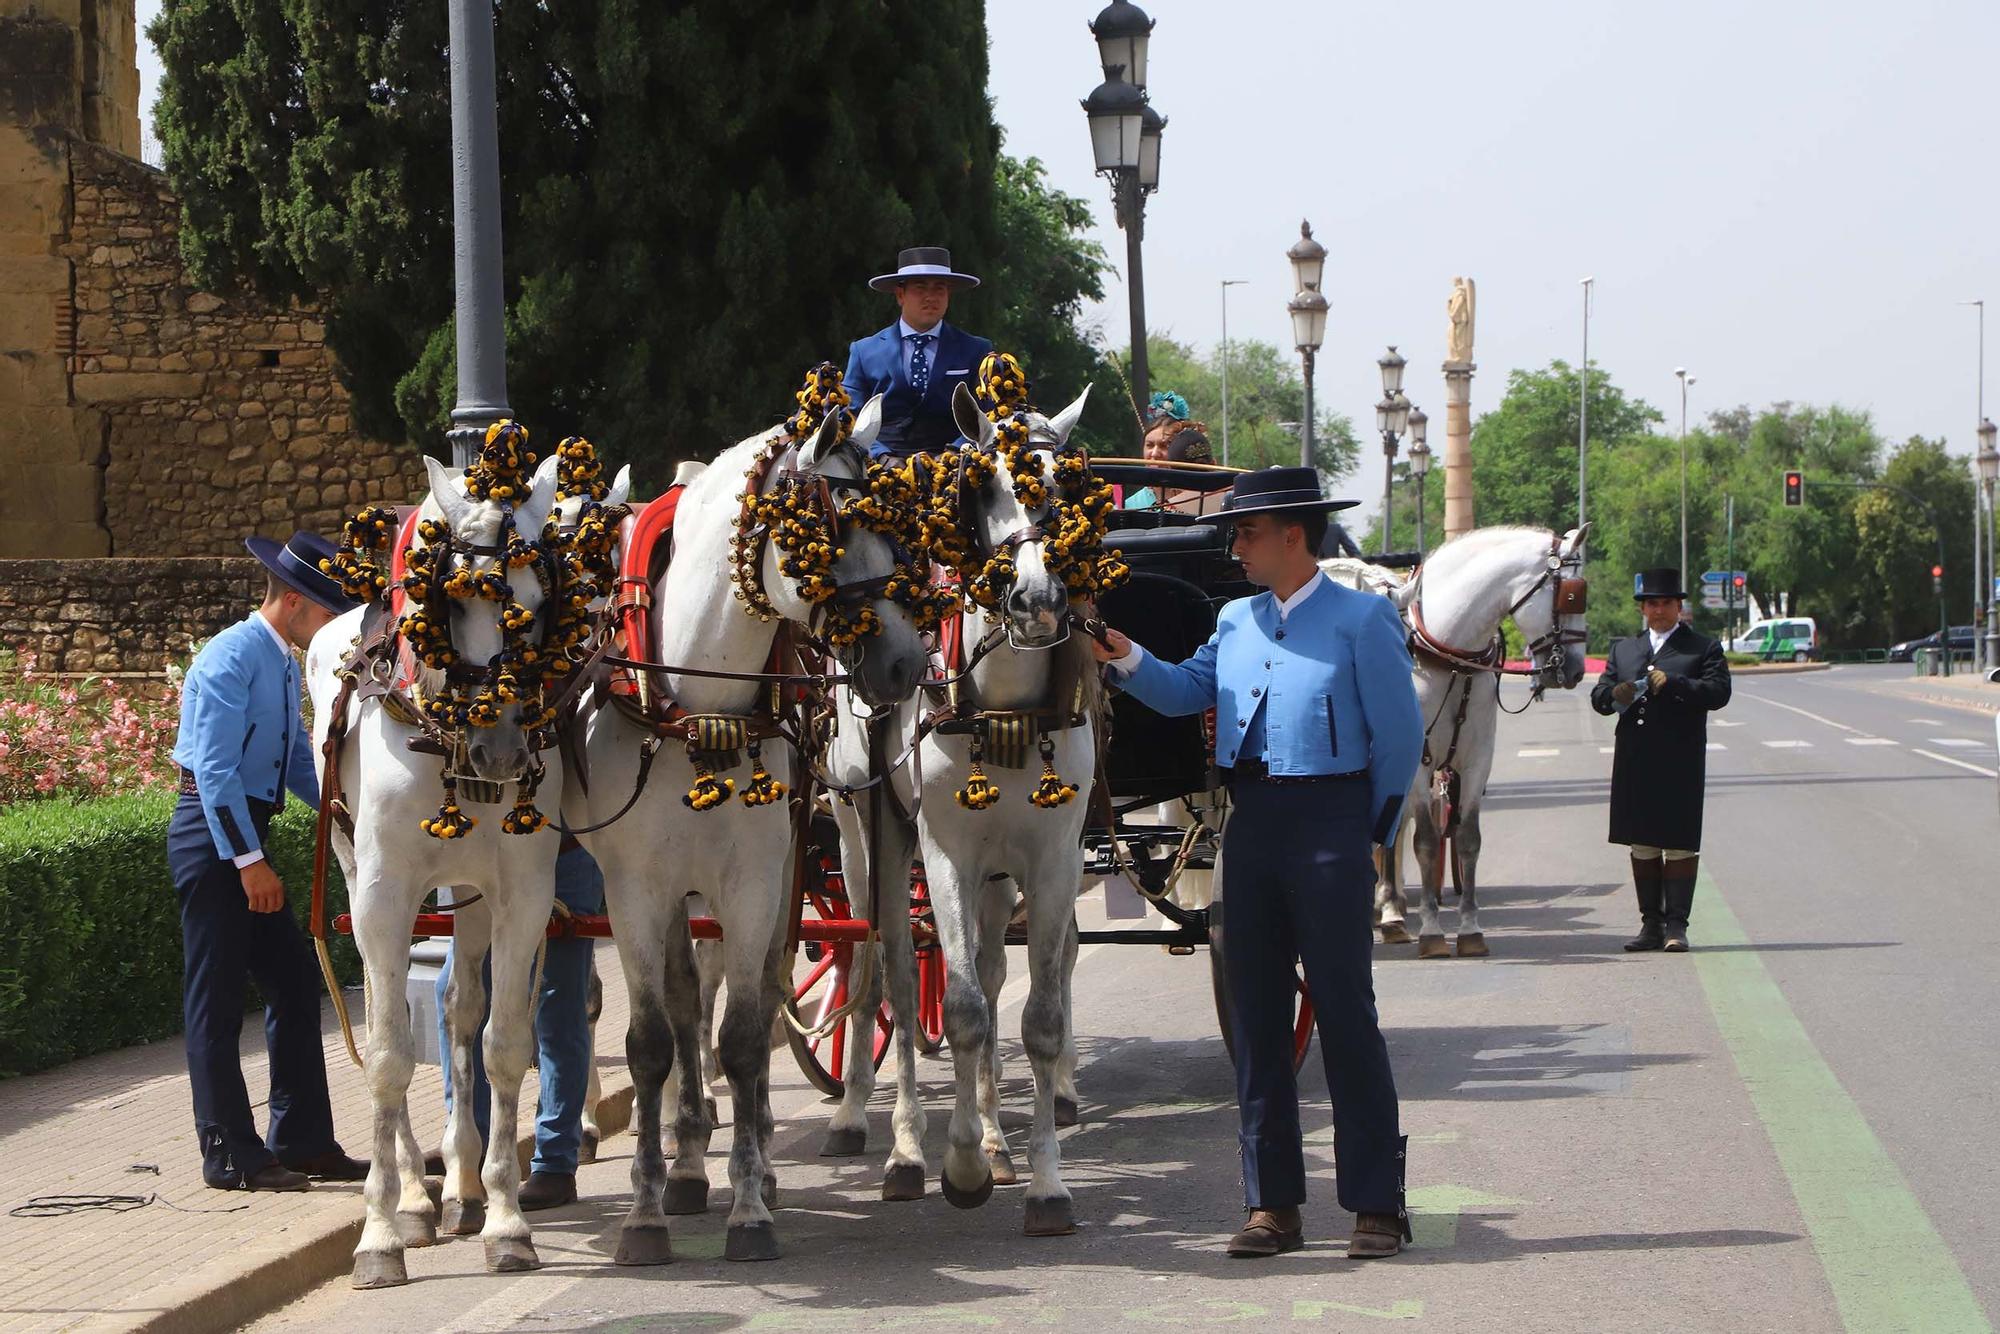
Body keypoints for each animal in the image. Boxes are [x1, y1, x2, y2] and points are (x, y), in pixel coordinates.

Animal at [308, 454, 568, 1288]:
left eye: (538, 602)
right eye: (452, 599)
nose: (501, 745)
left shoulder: (524, 895)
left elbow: (503, 1045)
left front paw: (508, 1219)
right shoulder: (383, 899)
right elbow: (390, 1055)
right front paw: (381, 1232)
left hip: (472, 894)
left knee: (458, 1008)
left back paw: (459, 1187)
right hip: (356, 875)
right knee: (391, 1017)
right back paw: (418, 1202)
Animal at [572, 394, 928, 1264]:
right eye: (827, 529)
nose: (907, 663)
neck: (698, 697)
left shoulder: (757, 879)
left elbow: (741, 1034)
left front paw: (750, 1207)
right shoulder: (637, 888)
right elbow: (653, 1040)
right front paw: (647, 1211)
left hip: (839, 841)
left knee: (849, 973)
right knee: (684, 1001)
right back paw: (688, 1158)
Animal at [1368, 524, 1584, 960]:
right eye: (1569, 594)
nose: (1575, 669)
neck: (1447, 655)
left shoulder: (1477, 759)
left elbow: (1468, 840)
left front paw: (1469, 930)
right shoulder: (1419, 762)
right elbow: (1426, 842)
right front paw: (1432, 931)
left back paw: (1392, 911)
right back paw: (1389, 912)